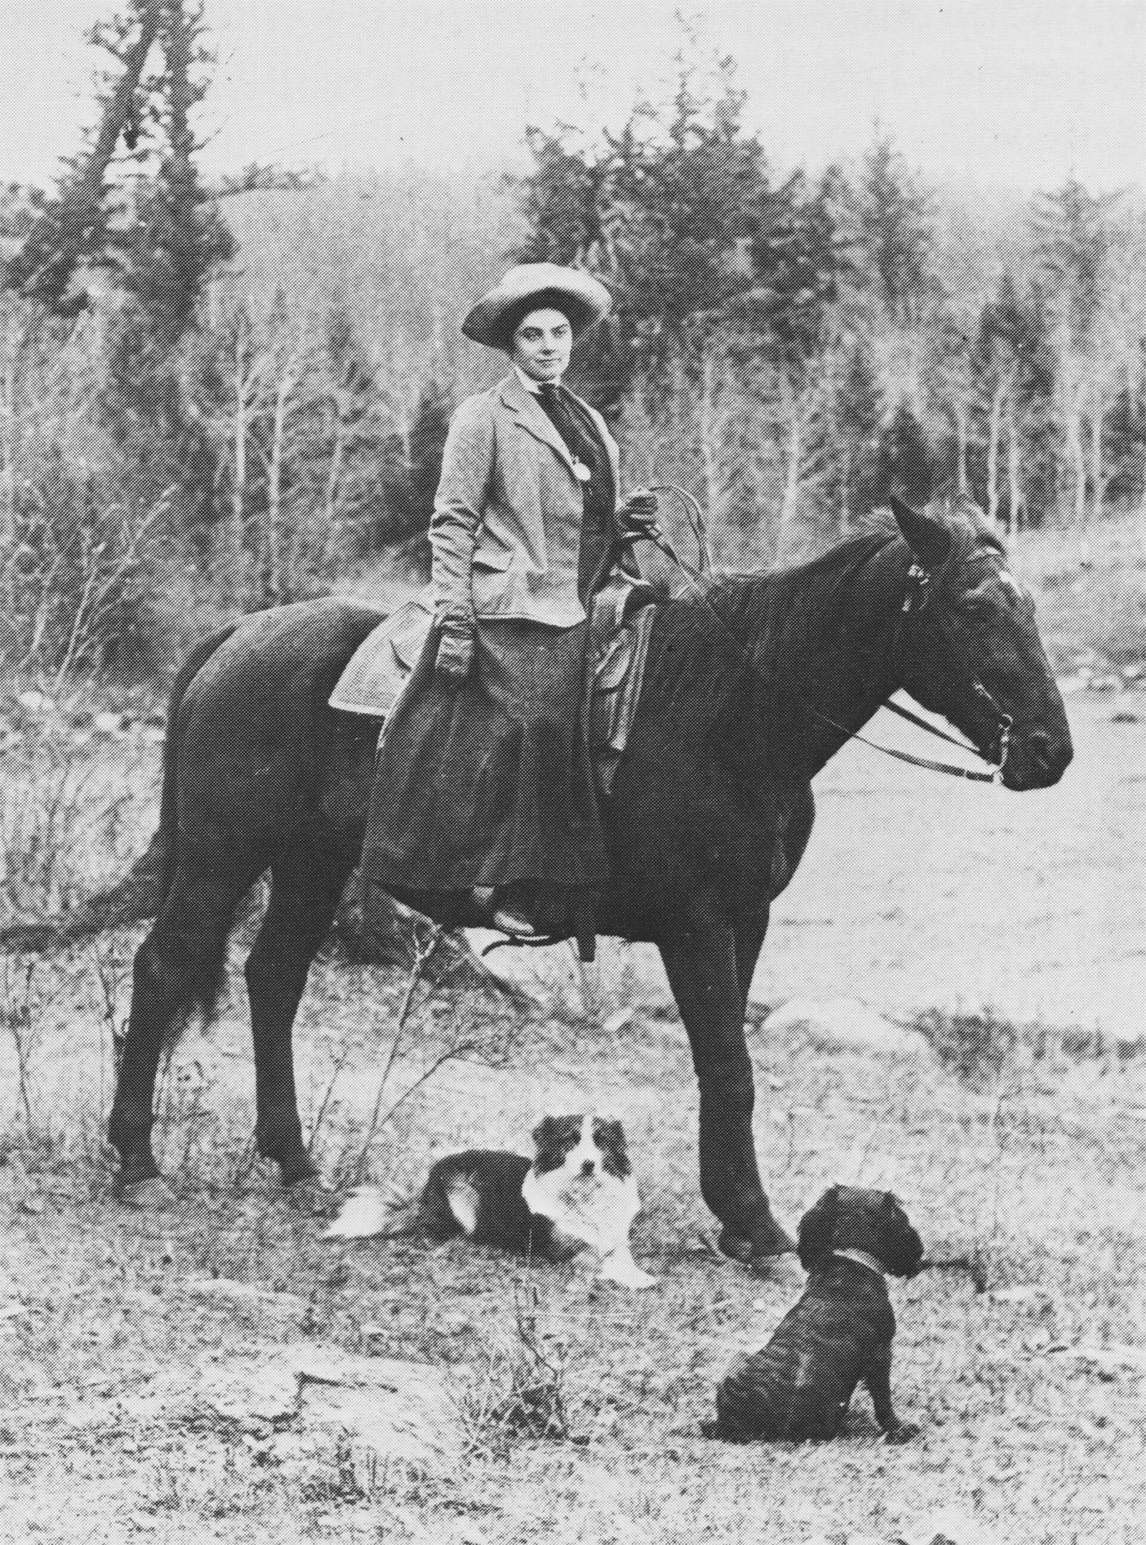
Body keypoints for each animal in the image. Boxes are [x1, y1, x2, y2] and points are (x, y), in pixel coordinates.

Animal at [109, 500, 1074, 1273]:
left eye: (1028, 604)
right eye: (974, 606)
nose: (1050, 750)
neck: (732, 709)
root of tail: (238, 636)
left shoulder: (745, 922)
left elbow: (721, 1064)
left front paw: (735, 1214)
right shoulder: (697, 924)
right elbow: (730, 1067)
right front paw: (756, 1222)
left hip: (309, 864)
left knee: (273, 977)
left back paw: (293, 1158)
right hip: (221, 856)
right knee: (163, 968)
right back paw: (136, 1161)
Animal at [327, 1112, 661, 1291]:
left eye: (601, 1141)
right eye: (571, 1140)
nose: (589, 1164)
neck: (584, 1193)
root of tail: (421, 1195)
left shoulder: (616, 1238)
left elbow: (620, 1255)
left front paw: (636, 1272)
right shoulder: (560, 1248)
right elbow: (594, 1256)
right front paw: (634, 1278)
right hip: (461, 1189)